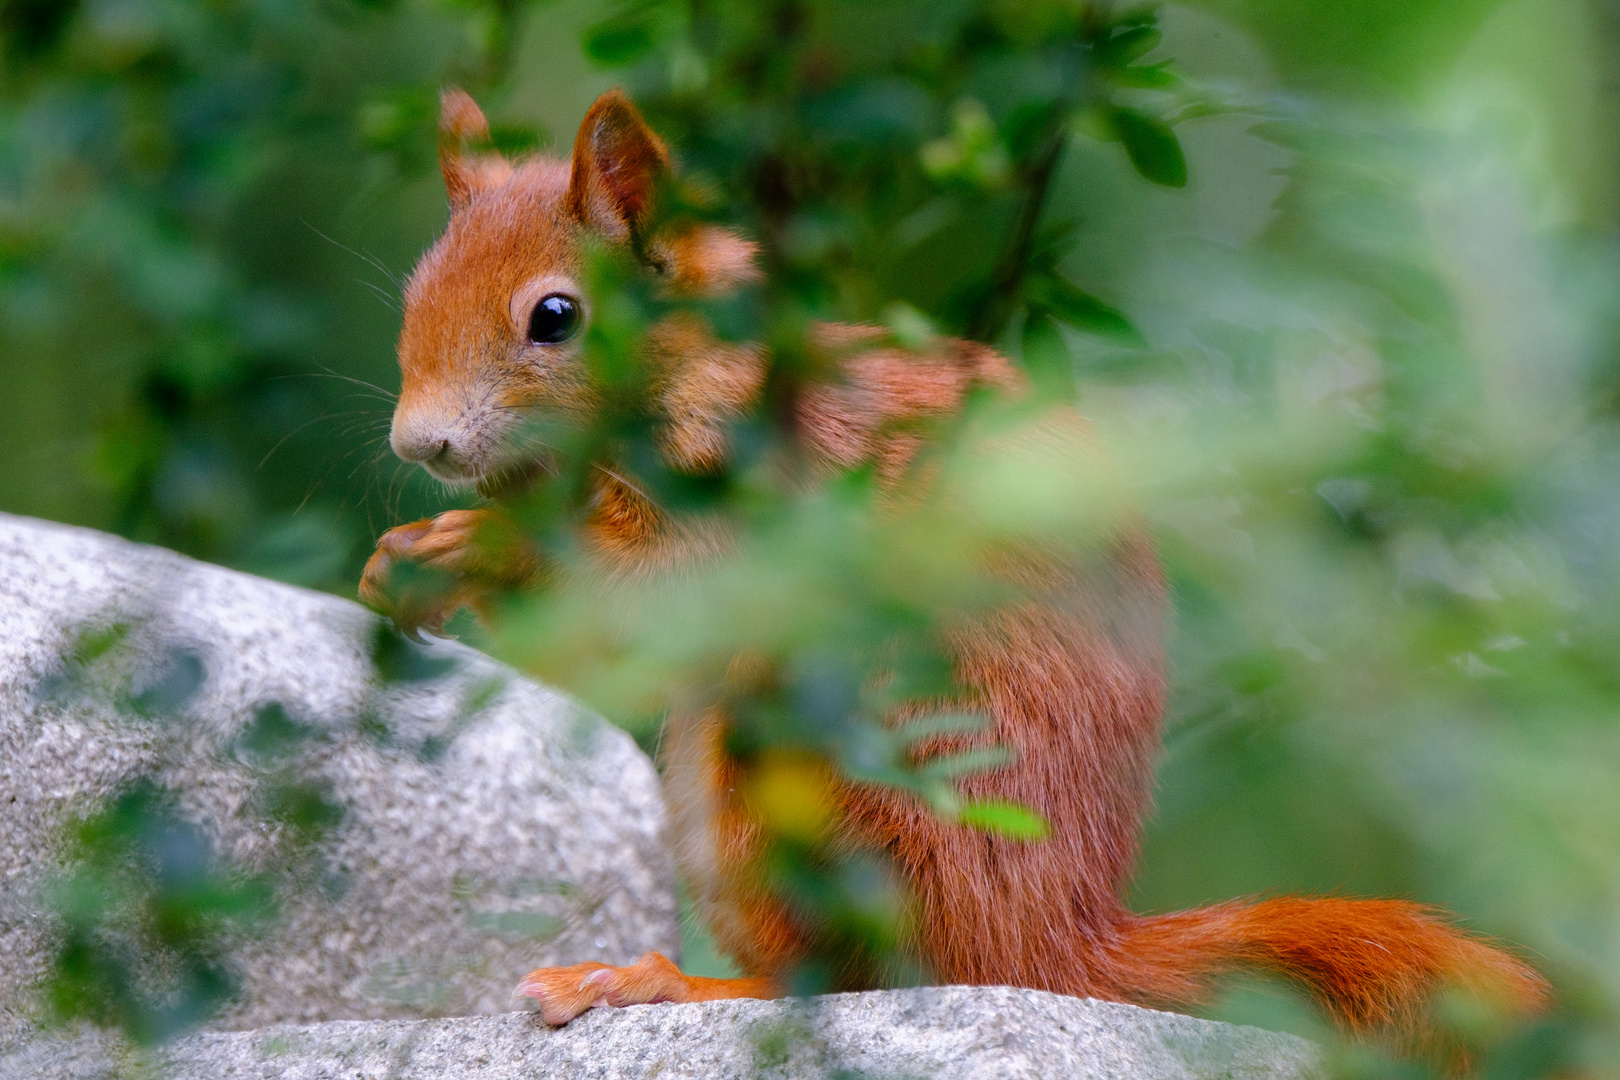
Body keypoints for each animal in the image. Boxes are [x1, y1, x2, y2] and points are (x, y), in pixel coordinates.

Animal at [361, 86, 1548, 1049]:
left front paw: (481, 546)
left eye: (555, 317)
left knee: (840, 980)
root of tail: (1052, 947)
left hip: (831, 784)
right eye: (412, 296)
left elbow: (656, 603)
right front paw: (400, 567)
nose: (420, 445)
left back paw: (661, 984)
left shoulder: (780, 506)